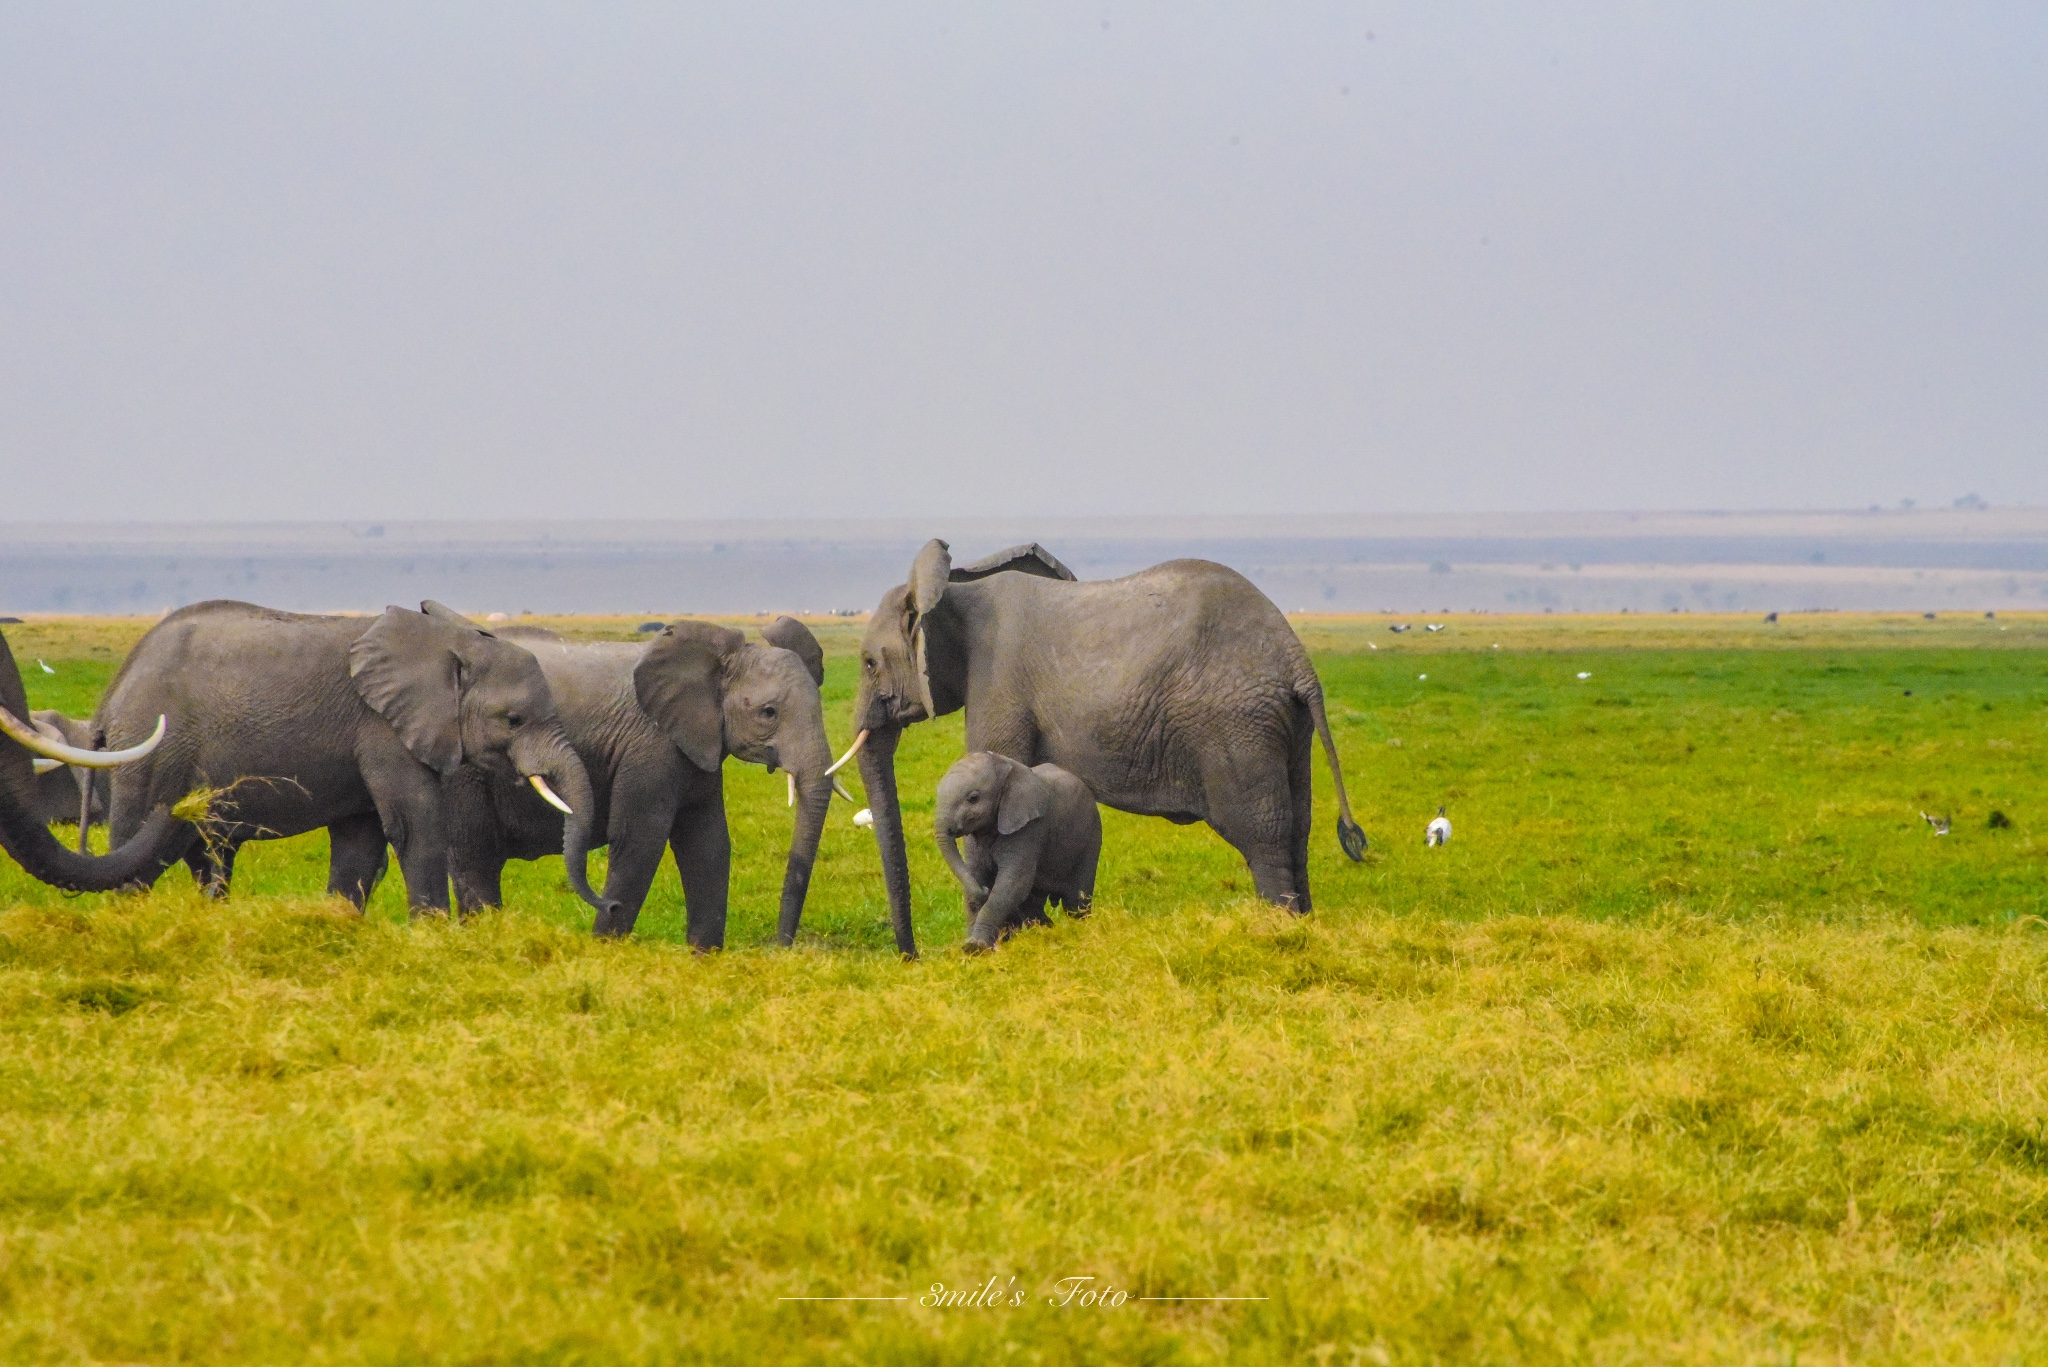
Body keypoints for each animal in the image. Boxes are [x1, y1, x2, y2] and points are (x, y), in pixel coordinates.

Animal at [92, 602, 602, 914]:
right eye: (514, 720)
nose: (606, 905)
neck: (451, 643)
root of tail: (114, 691)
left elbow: (362, 838)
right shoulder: (383, 727)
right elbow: (414, 824)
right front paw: (433, 935)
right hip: (153, 749)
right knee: (139, 844)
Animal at [436, 614, 835, 946]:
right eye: (769, 713)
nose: (781, 947)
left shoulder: (697, 747)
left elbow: (708, 843)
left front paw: (705, 959)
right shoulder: (651, 746)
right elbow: (640, 840)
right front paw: (604, 952)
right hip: (463, 771)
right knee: (476, 856)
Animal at [937, 750, 1105, 950]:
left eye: (973, 798)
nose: (985, 890)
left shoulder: (1029, 828)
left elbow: (1012, 884)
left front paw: (976, 947)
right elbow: (976, 875)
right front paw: (973, 946)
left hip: (1090, 836)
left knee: (1075, 902)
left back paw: (1081, 931)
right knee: (1033, 907)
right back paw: (1044, 932)